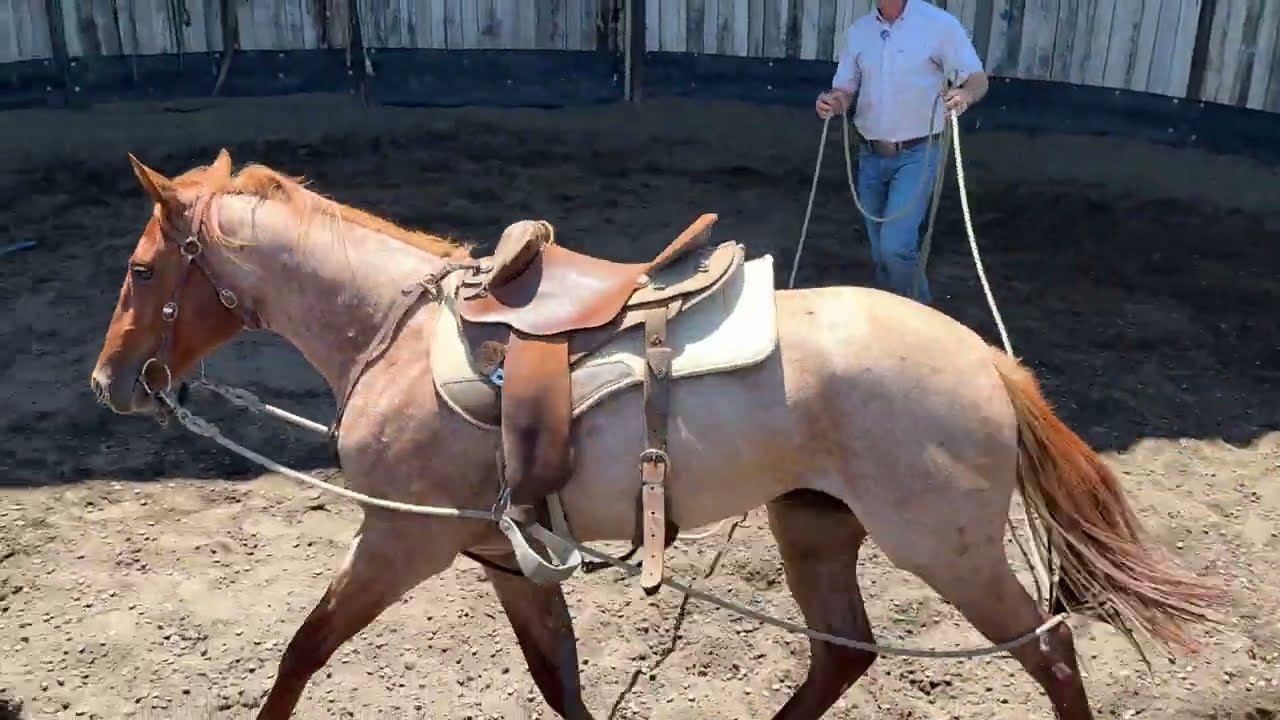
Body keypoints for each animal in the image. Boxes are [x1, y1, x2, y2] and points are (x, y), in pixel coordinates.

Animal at [88, 148, 1227, 720]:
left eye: (142, 269)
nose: (110, 382)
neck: (395, 333)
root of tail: (988, 360)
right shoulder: (505, 558)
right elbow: (557, 681)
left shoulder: (398, 543)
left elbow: (300, 654)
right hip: (813, 526)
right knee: (843, 655)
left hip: (945, 549)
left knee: (1052, 653)